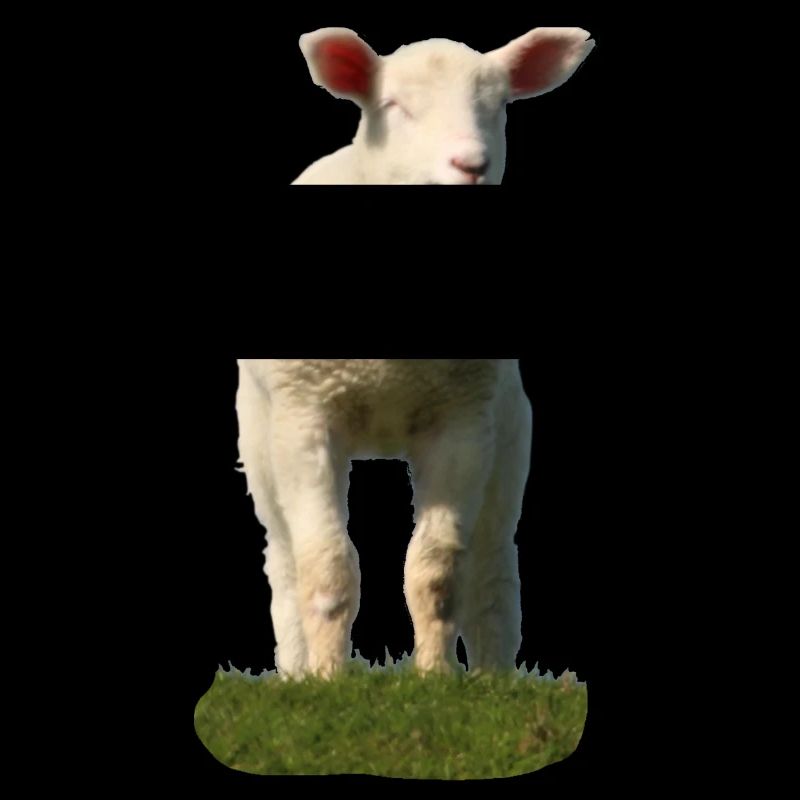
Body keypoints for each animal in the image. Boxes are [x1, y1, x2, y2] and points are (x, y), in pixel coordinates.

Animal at [236, 359, 533, 679]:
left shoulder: (462, 419)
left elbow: (438, 573)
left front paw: (434, 672)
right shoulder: (303, 410)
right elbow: (328, 565)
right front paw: (327, 674)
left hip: (505, 426)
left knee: (490, 566)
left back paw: (493, 675)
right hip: (260, 438)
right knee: (284, 557)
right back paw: (297, 673)